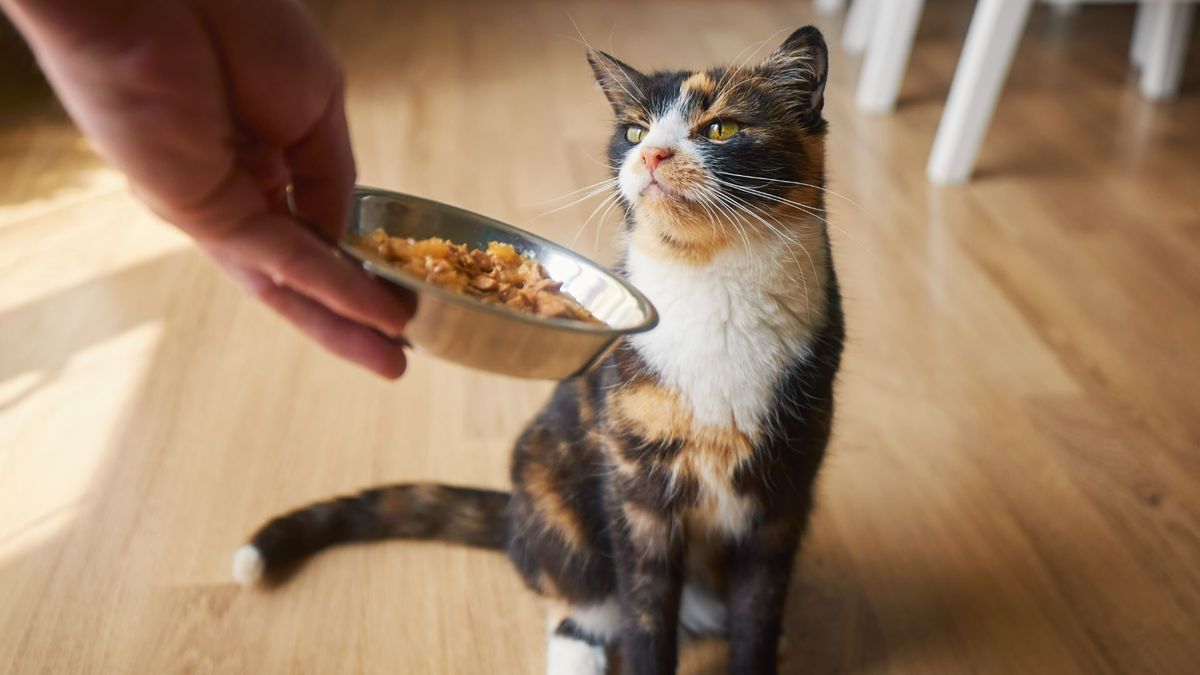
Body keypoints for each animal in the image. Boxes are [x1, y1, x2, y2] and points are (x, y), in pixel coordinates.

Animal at [229, 24, 840, 672]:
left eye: (721, 128)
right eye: (634, 131)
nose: (652, 155)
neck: (714, 285)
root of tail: (514, 516)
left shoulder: (782, 499)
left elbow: (758, 611)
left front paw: (760, 649)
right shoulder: (637, 496)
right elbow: (645, 617)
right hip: (553, 488)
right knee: (578, 608)